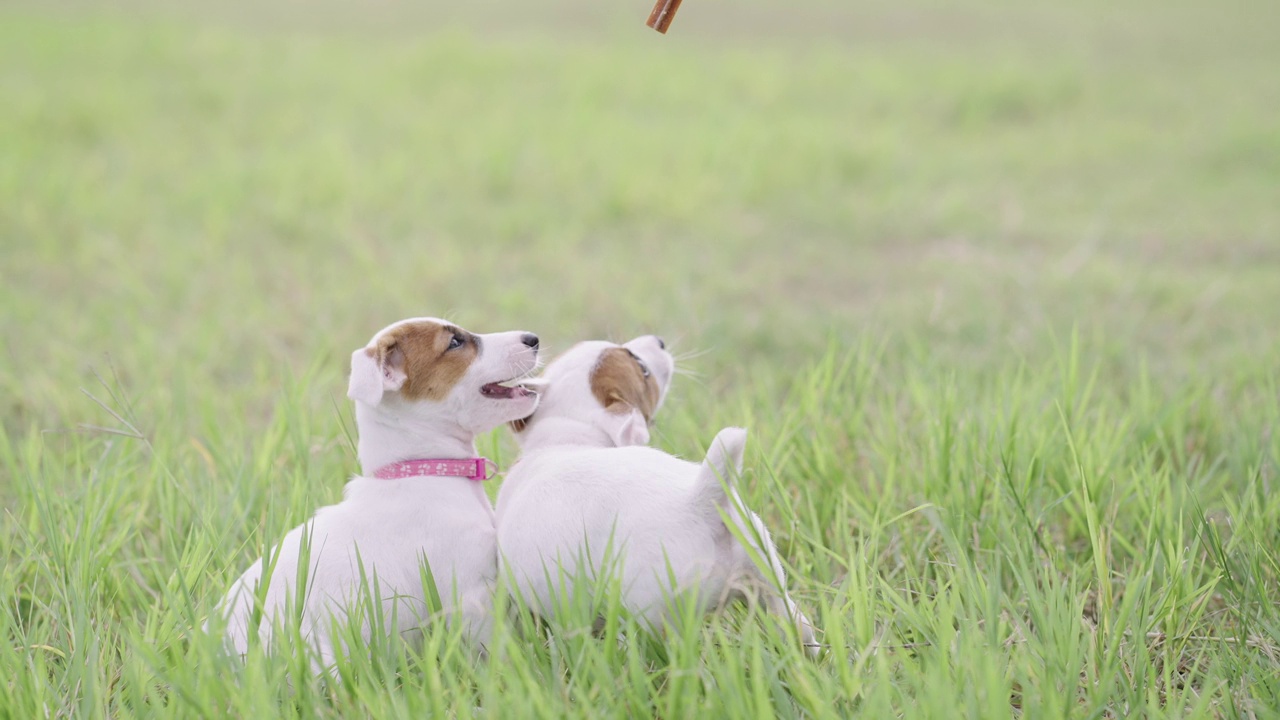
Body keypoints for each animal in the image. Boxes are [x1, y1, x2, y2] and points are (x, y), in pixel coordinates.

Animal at [494, 333, 814, 653]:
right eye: (642, 369)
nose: (658, 340)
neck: (566, 438)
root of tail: (698, 502)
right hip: (769, 582)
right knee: (796, 625)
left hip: (657, 616)